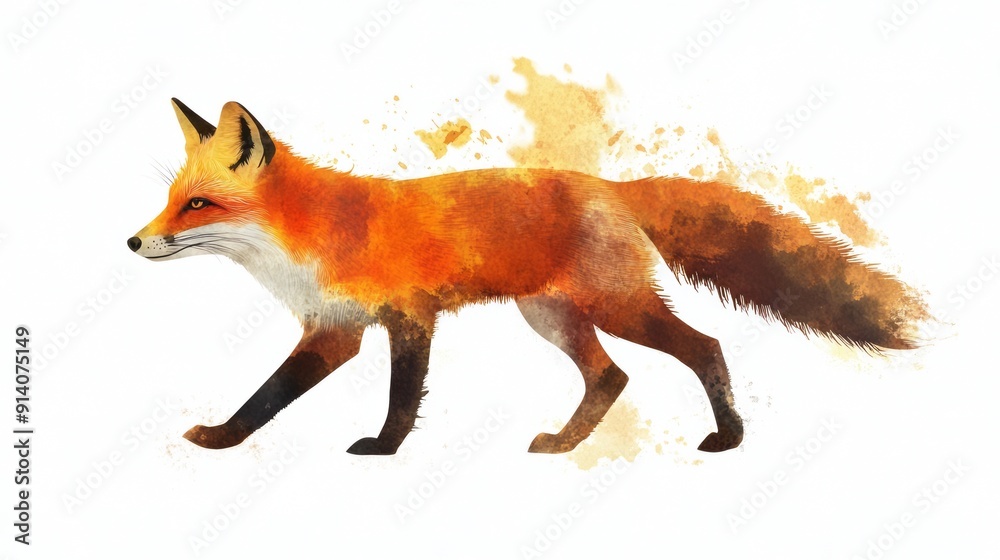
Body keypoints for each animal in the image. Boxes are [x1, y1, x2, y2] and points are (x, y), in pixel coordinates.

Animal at [128, 98, 928, 455]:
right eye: (172, 199)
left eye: (198, 205)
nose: (135, 241)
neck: (314, 236)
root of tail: (612, 187)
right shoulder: (335, 330)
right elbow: (268, 397)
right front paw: (223, 438)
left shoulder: (407, 316)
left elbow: (400, 397)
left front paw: (384, 448)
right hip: (553, 317)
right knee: (612, 377)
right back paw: (567, 444)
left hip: (615, 306)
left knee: (704, 347)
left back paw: (728, 435)